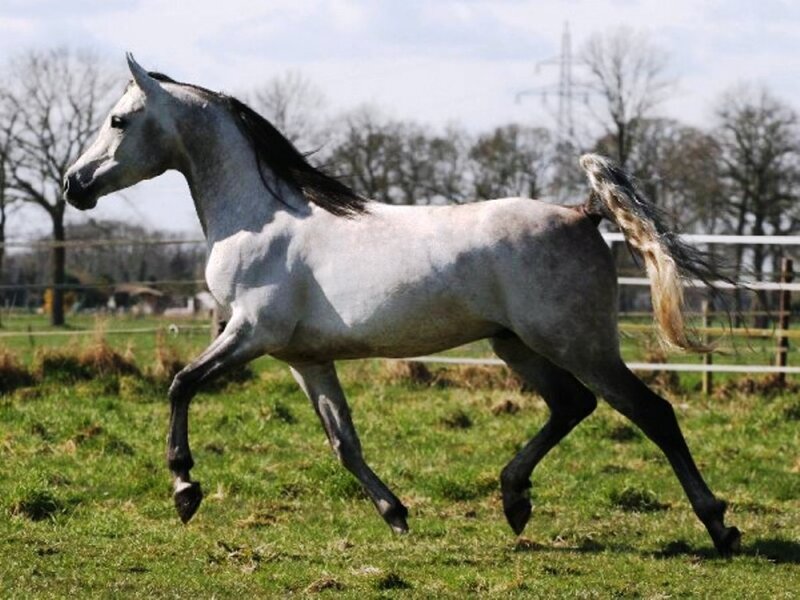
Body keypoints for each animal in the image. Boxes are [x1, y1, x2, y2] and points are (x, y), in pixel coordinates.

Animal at [63, 54, 740, 556]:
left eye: (118, 120)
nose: (75, 184)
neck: (260, 218)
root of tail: (583, 212)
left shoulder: (250, 333)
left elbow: (181, 384)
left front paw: (185, 488)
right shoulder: (304, 360)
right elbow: (344, 441)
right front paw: (395, 513)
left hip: (578, 343)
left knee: (651, 412)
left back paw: (719, 526)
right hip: (516, 344)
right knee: (572, 405)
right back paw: (514, 499)